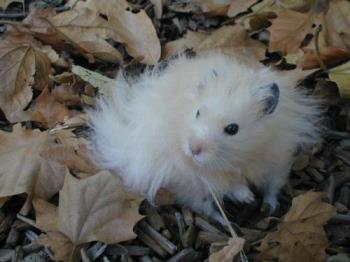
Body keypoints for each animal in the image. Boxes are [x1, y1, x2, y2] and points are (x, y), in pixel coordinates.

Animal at [87, 52, 320, 220]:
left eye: (232, 129)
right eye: (198, 113)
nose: (193, 149)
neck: (242, 158)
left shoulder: (277, 158)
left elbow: (273, 187)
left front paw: (267, 207)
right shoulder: (200, 173)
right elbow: (230, 185)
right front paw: (248, 198)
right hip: (184, 183)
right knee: (204, 206)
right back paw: (226, 222)